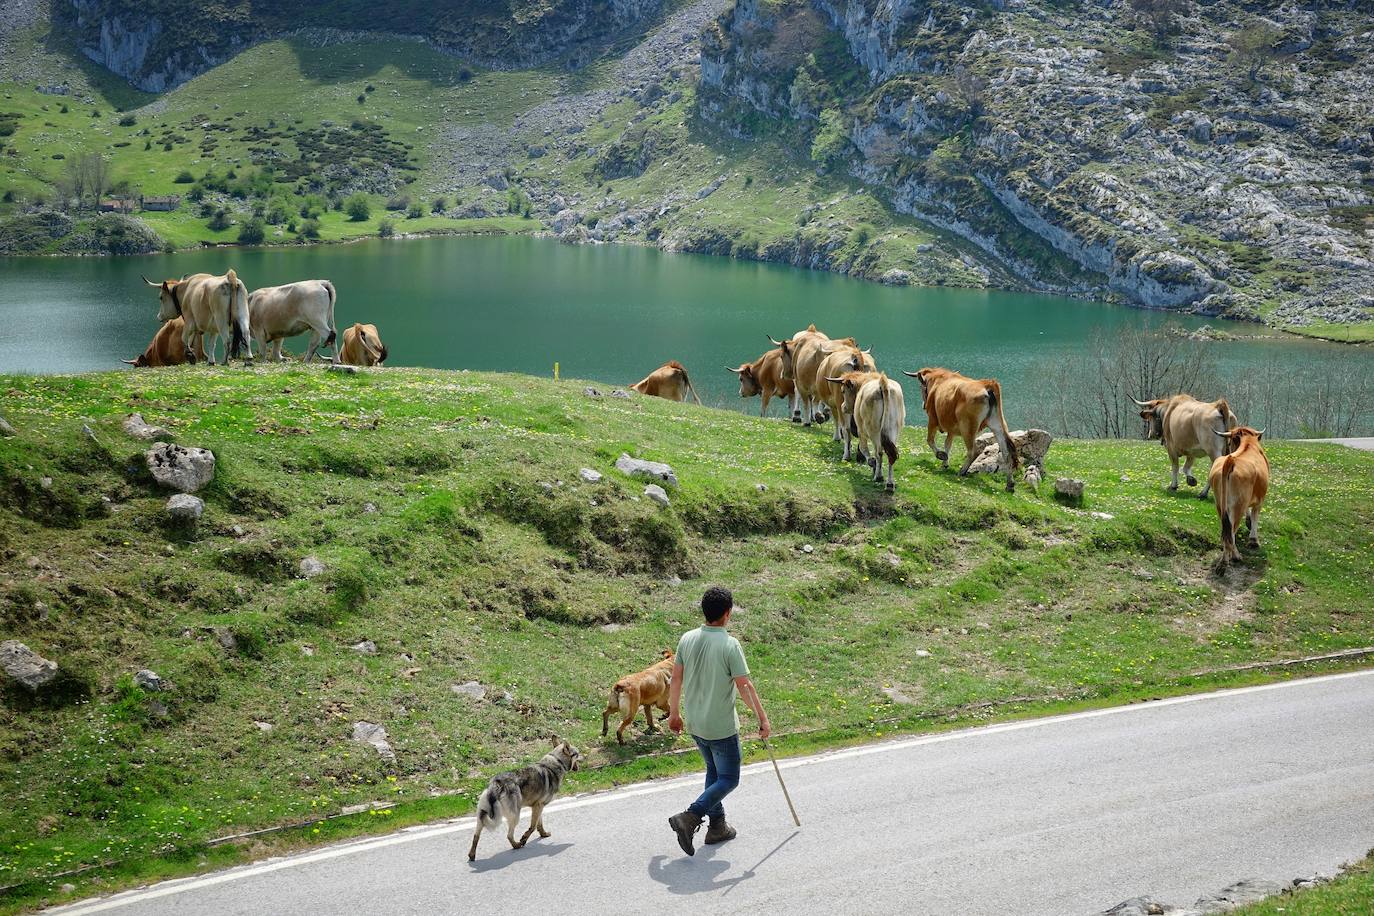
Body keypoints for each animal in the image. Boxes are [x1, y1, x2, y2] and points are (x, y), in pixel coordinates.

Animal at [1209, 425, 1269, 563]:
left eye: (1229, 442)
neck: (1248, 443)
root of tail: (1230, 461)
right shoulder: (1260, 499)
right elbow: (1255, 516)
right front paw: (1253, 540)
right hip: (1238, 505)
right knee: (1231, 530)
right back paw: (1233, 557)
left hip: (1220, 503)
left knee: (1226, 528)